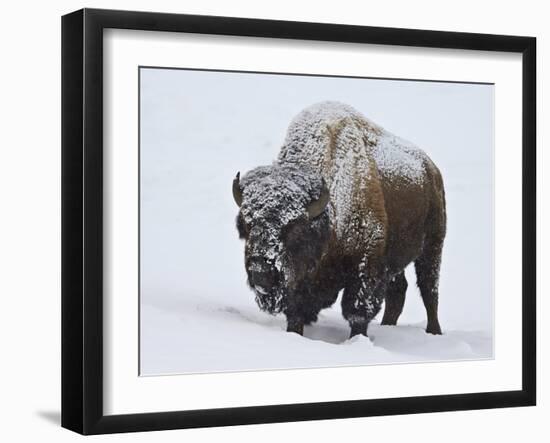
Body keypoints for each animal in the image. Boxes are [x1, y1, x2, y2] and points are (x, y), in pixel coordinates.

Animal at [233, 102, 448, 338]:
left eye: (295, 229)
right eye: (247, 225)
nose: (260, 271)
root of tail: (431, 169)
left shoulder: (365, 267)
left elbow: (357, 312)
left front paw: (358, 339)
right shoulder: (301, 284)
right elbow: (296, 312)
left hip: (432, 246)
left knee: (429, 290)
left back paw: (434, 331)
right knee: (398, 290)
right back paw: (387, 326)